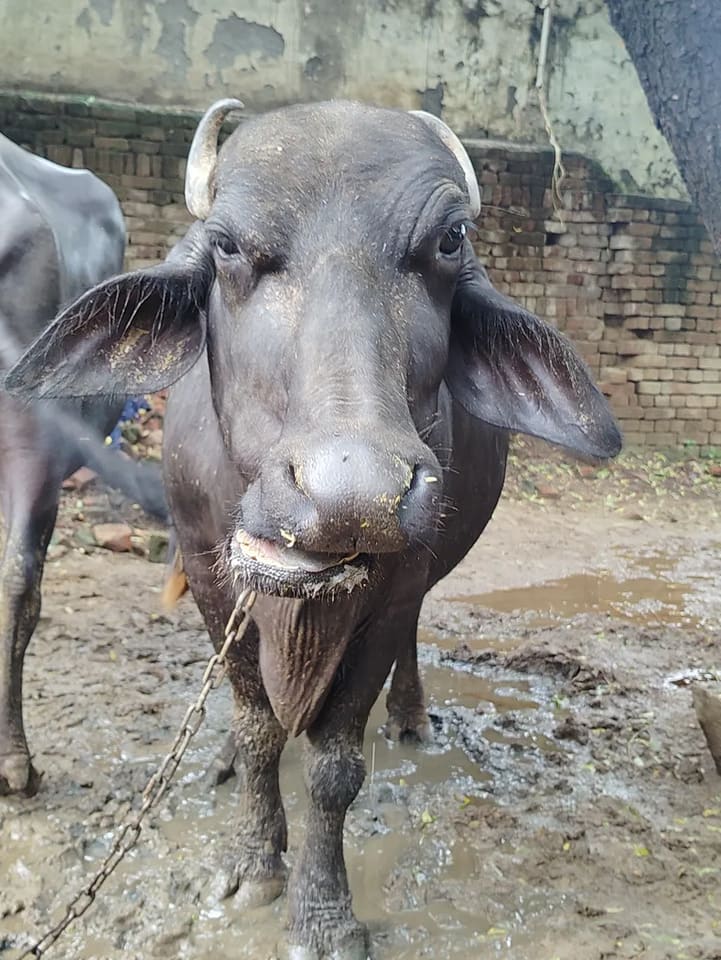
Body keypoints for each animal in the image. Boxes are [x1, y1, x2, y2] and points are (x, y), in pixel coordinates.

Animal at [7, 100, 621, 958]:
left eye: (448, 241)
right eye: (227, 245)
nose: (352, 495)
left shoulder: (392, 592)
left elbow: (335, 767)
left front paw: (323, 910)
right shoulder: (209, 578)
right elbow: (262, 731)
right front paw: (252, 860)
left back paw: (409, 715)